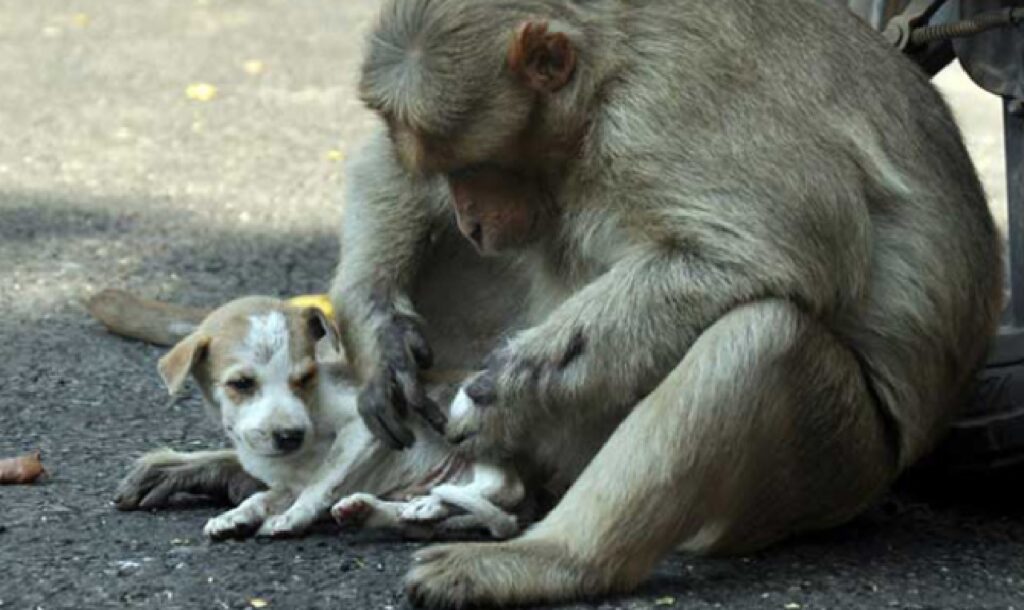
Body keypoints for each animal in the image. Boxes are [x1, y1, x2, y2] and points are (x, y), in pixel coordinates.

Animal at [147, 294, 524, 540]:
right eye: (241, 383)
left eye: (305, 377)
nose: (290, 436)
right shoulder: (286, 482)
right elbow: (262, 497)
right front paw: (235, 516)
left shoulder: (363, 427)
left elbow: (322, 480)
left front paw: (293, 517)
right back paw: (389, 509)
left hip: (465, 416)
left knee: (503, 487)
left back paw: (429, 504)